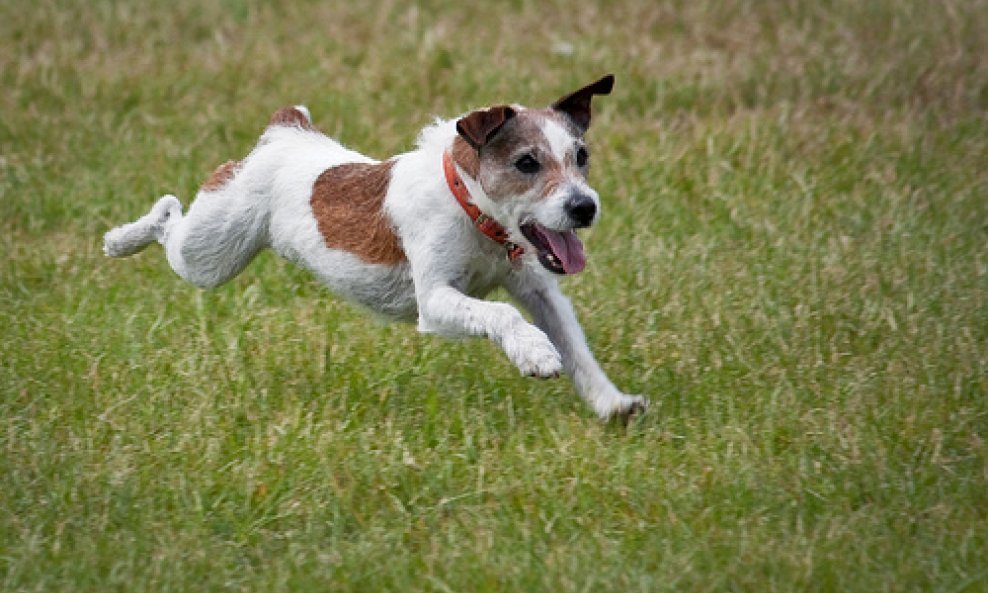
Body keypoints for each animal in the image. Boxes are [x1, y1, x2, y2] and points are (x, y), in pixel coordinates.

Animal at [104, 74, 648, 418]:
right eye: (527, 163)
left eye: (581, 156)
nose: (585, 207)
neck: (472, 211)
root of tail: (286, 130)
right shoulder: (436, 300)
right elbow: (503, 314)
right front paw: (534, 354)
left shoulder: (540, 289)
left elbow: (575, 346)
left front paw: (612, 403)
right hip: (209, 253)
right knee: (169, 212)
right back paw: (120, 239)